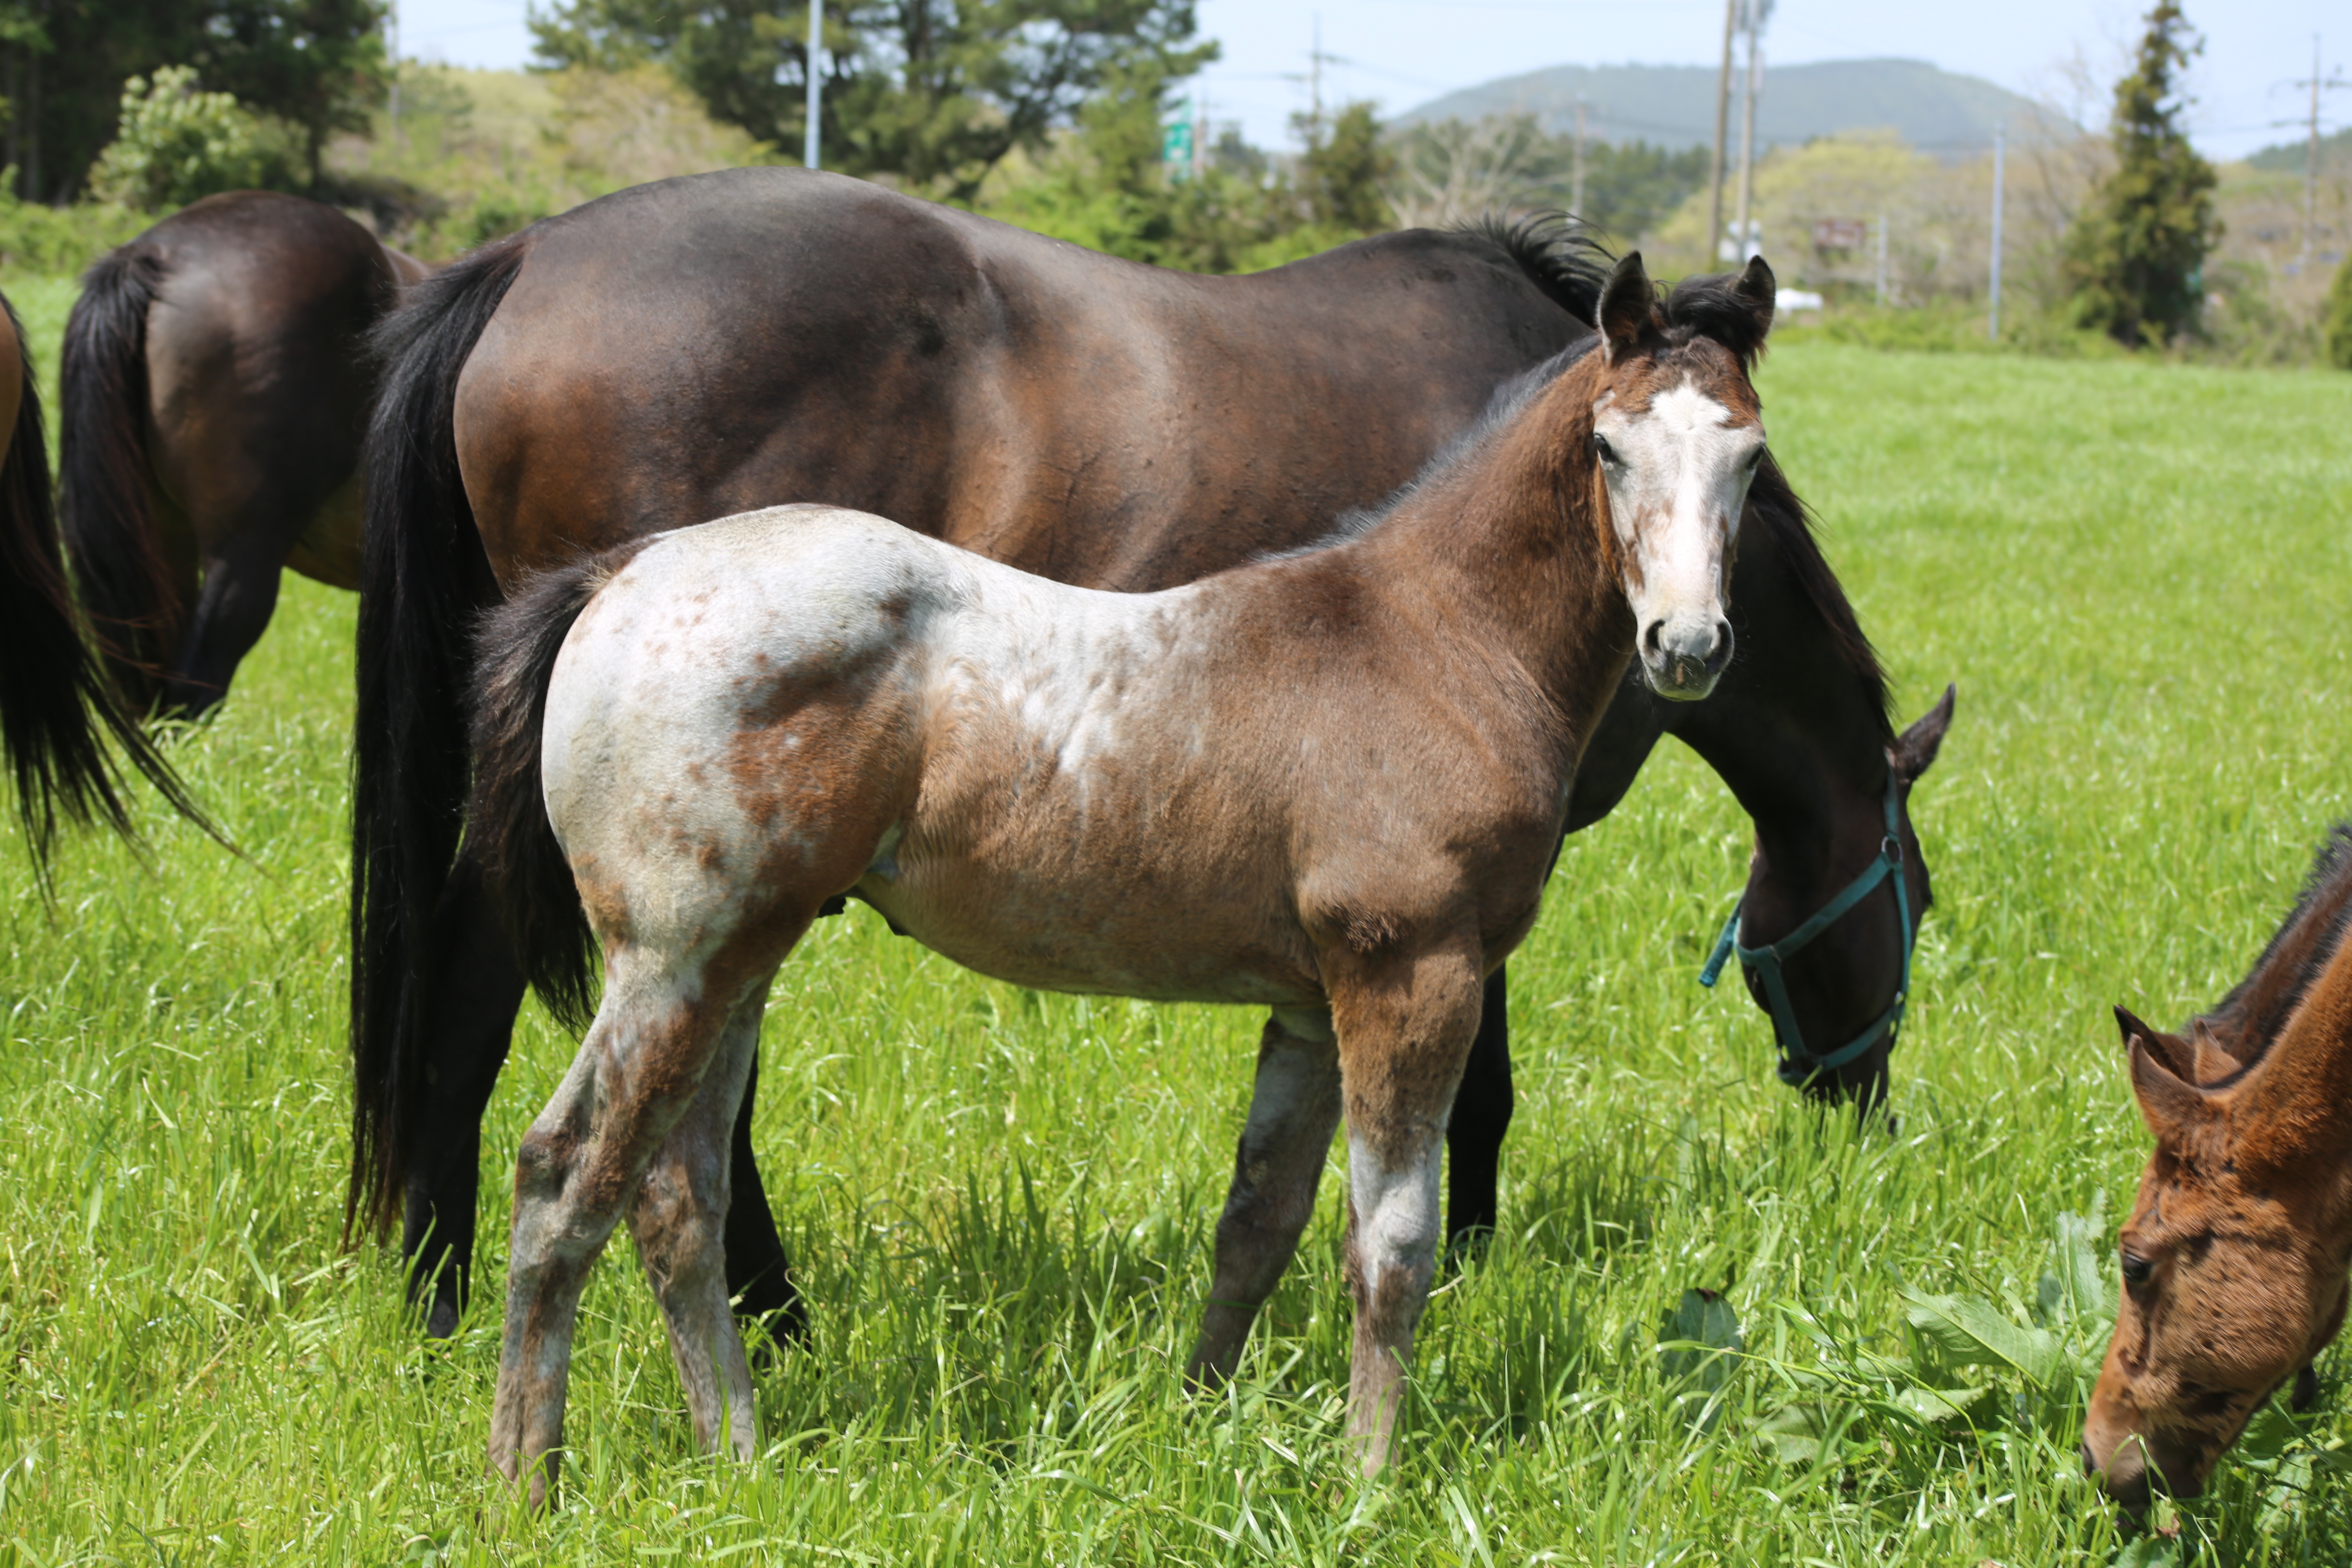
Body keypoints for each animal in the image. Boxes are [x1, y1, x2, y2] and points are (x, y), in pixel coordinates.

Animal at [348, 172, 1957, 1354]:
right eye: (1920, 904)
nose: (1865, 1110)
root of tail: (527, 255)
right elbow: (1478, 1091)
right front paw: (1475, 1258)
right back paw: (729, 1311)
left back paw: (445, 1294)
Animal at [463, 252, 1768, 1504]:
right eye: (1608, 445)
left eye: (1752, 455)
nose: (1689, 648)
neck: (1428, 641)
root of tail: (621, 577)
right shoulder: (1410, 974)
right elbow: (1391, 1246)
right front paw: (1368, 1484)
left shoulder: (1309, 1006)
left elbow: (1258, 1225)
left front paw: (1200, 1424)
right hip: (674, 961)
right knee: (564, 1177)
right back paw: (524, 1483)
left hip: (742, 958)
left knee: (677, 1200)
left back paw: (736, 1460)